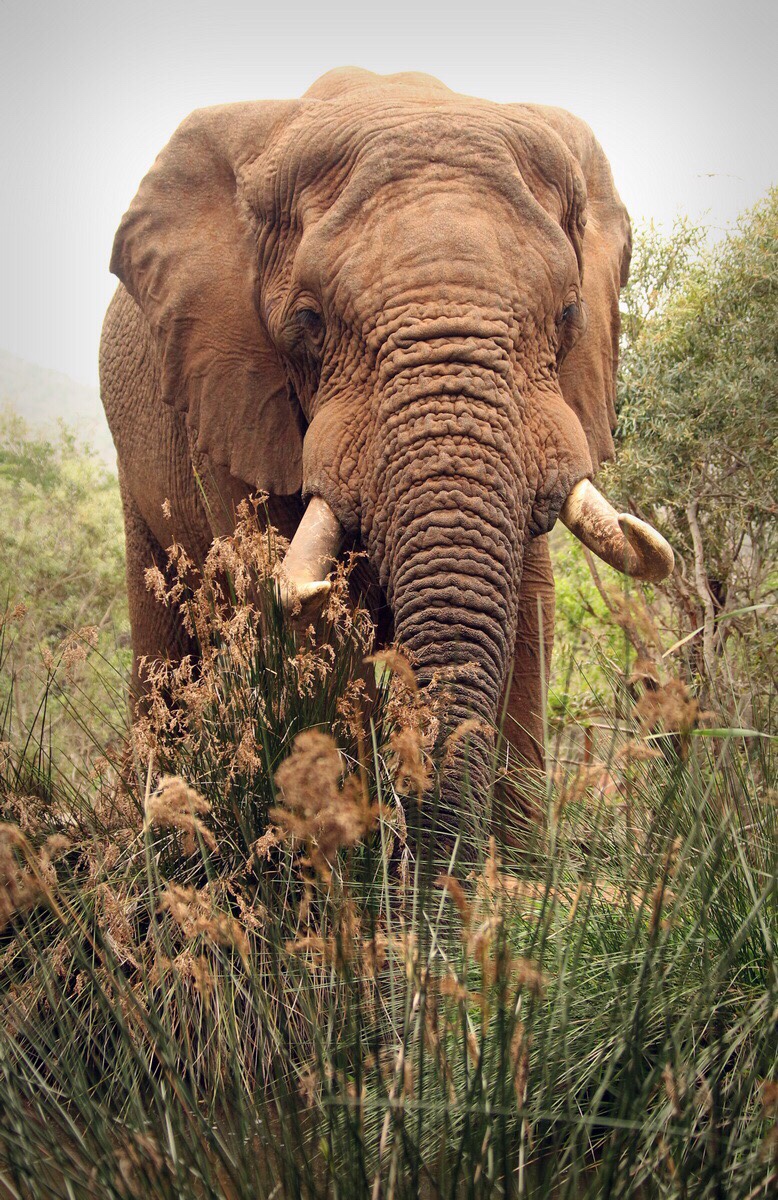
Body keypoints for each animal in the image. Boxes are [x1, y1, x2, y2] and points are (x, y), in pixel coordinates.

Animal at [100, 67, 672, 831]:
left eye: (570, 314)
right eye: (308, 322)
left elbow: (528, 615)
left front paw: (504, 864)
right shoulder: (230, 399)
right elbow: (310, 622)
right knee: (164, 648)